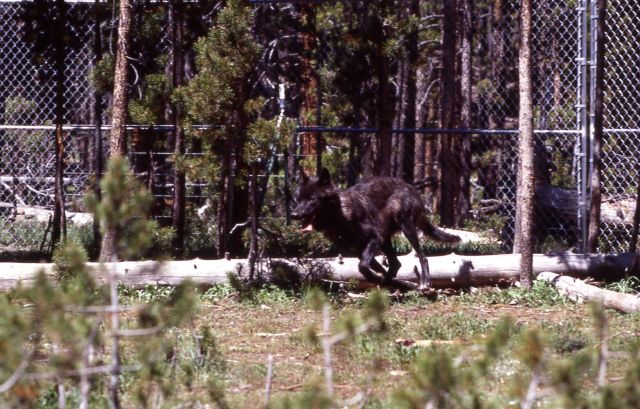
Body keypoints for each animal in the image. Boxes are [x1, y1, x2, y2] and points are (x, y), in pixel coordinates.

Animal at [291, 168, 460, 289]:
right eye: (299, 199)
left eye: (312, 199)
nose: (294, 214)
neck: (340, 216)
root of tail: (410, 187)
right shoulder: (358, 249)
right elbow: (371, 265)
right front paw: (380, 278)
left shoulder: (374, 239)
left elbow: (363, 266)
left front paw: (376, 278)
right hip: (386, 240)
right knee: (396, 264)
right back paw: (390, 283)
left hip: (406, 229)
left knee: (422, 257)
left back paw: (424, 282)